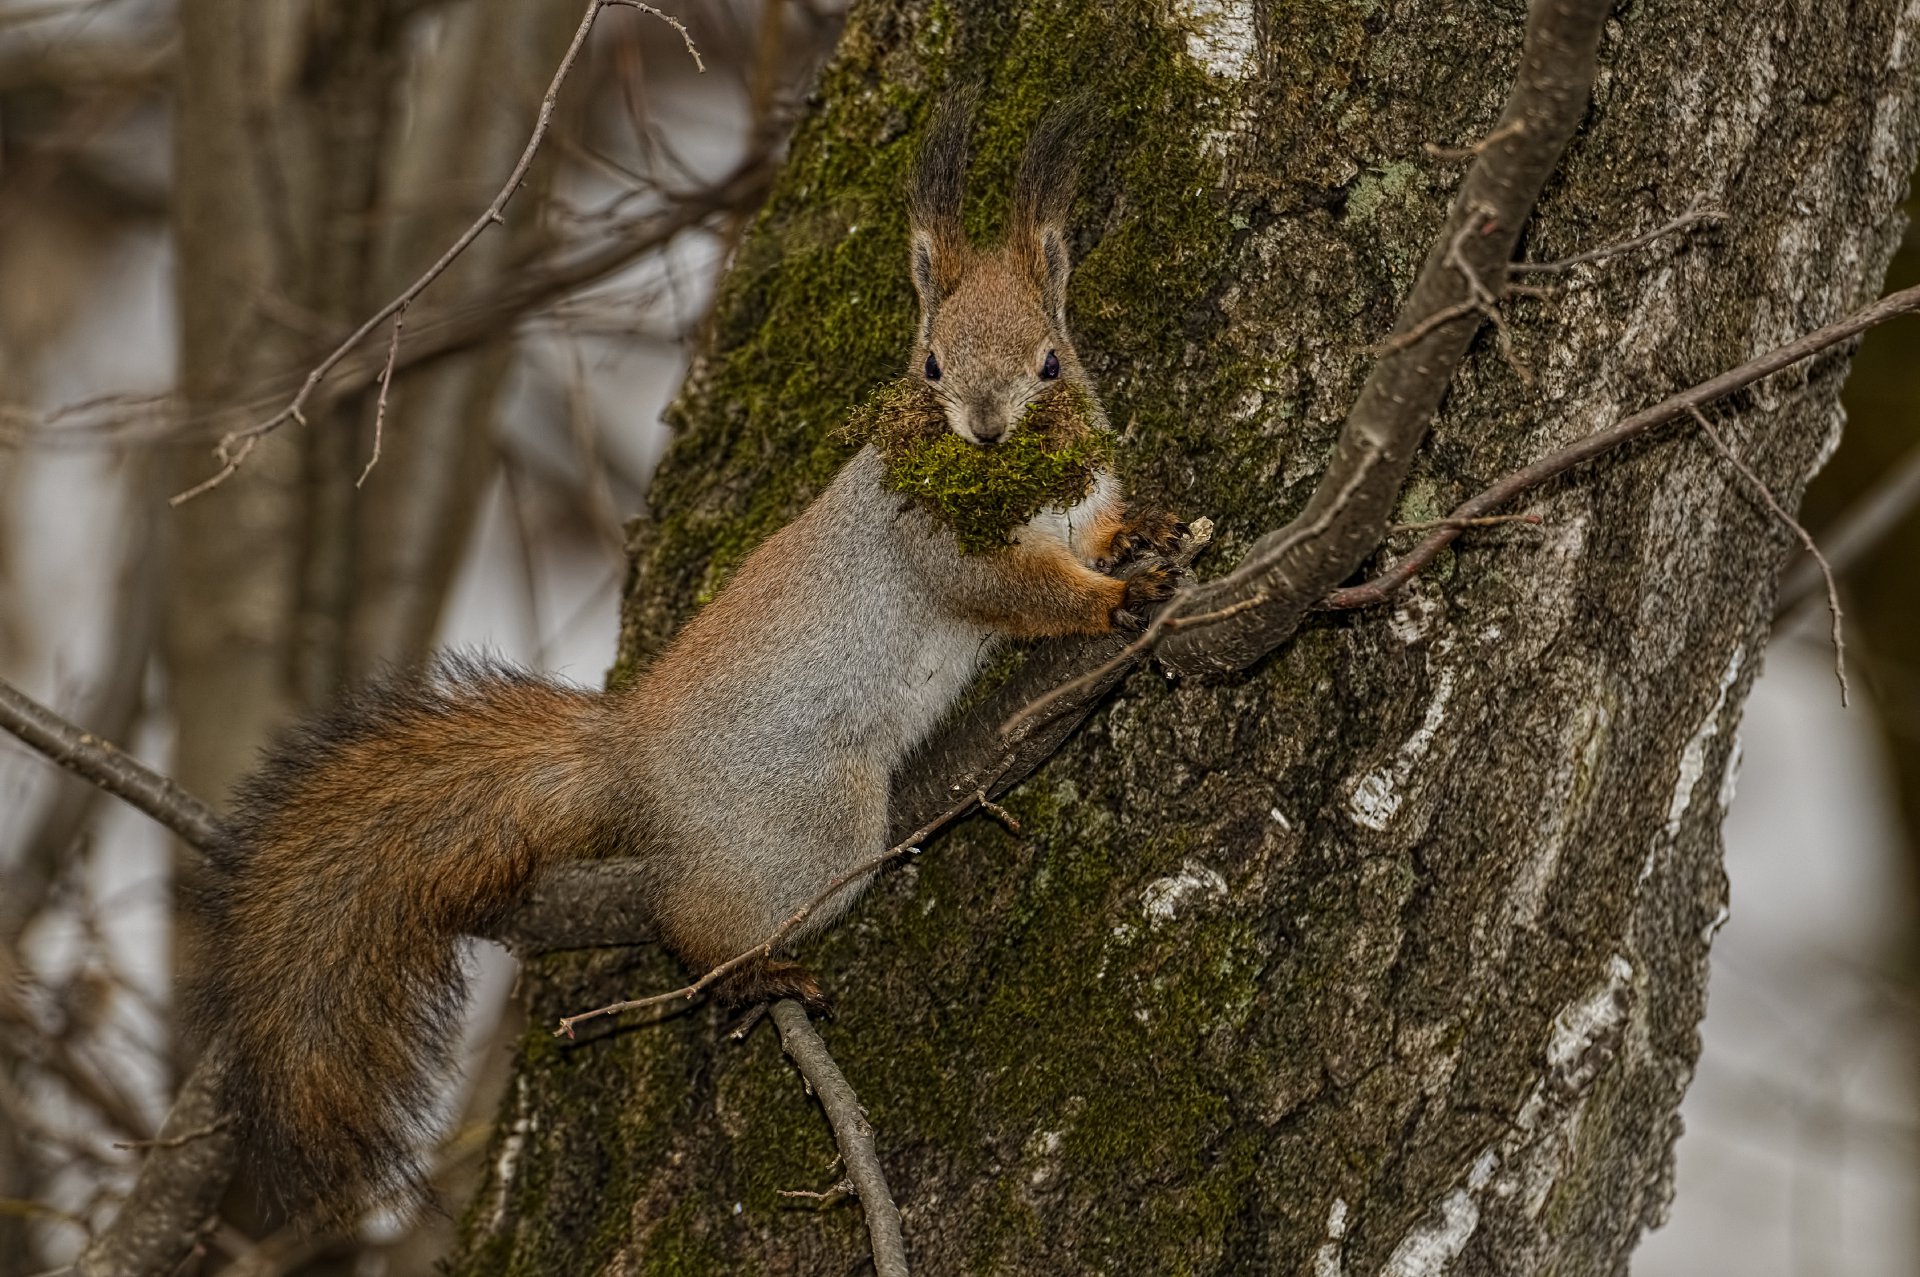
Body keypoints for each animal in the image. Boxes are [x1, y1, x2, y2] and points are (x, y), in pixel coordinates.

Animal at [190, 100, 1189, 1216]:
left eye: (1052, 360)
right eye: (931, 362)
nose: (981, 429)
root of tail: (628, 759)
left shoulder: (1073, 498)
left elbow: (1093, 530)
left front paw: (1140, 535)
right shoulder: (940, 551)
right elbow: (1023, 595)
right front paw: (1115, 598)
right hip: (815, 826)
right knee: (692, 922)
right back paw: (756, 974)